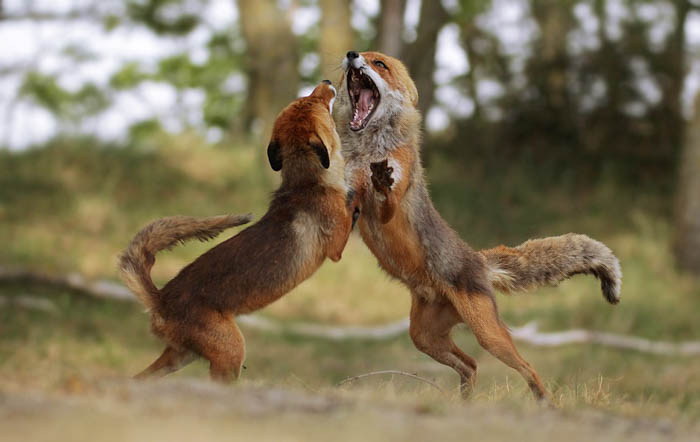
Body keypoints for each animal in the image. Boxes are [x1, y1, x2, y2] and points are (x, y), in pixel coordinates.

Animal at [120, 81, 358, 382]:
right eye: (312, 101)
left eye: (304, 99)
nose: (326, 82)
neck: (306, 183)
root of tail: (160, 299)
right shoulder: (336, 247)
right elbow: (355, 202)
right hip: (231, 352)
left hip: (181, 357)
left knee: (138, 379)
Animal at [334, 51, 622, 402]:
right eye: (363, 56)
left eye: (380, 64)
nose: (351, 54)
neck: (367, 152)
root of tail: (479, 260)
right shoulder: (349, 197)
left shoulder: (390, 203)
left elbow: (386, 197)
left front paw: (380, 181)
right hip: (424, 337)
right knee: (470, 365)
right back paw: (465, 403)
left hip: (488, 335)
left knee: (527, 367)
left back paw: (543, 403)